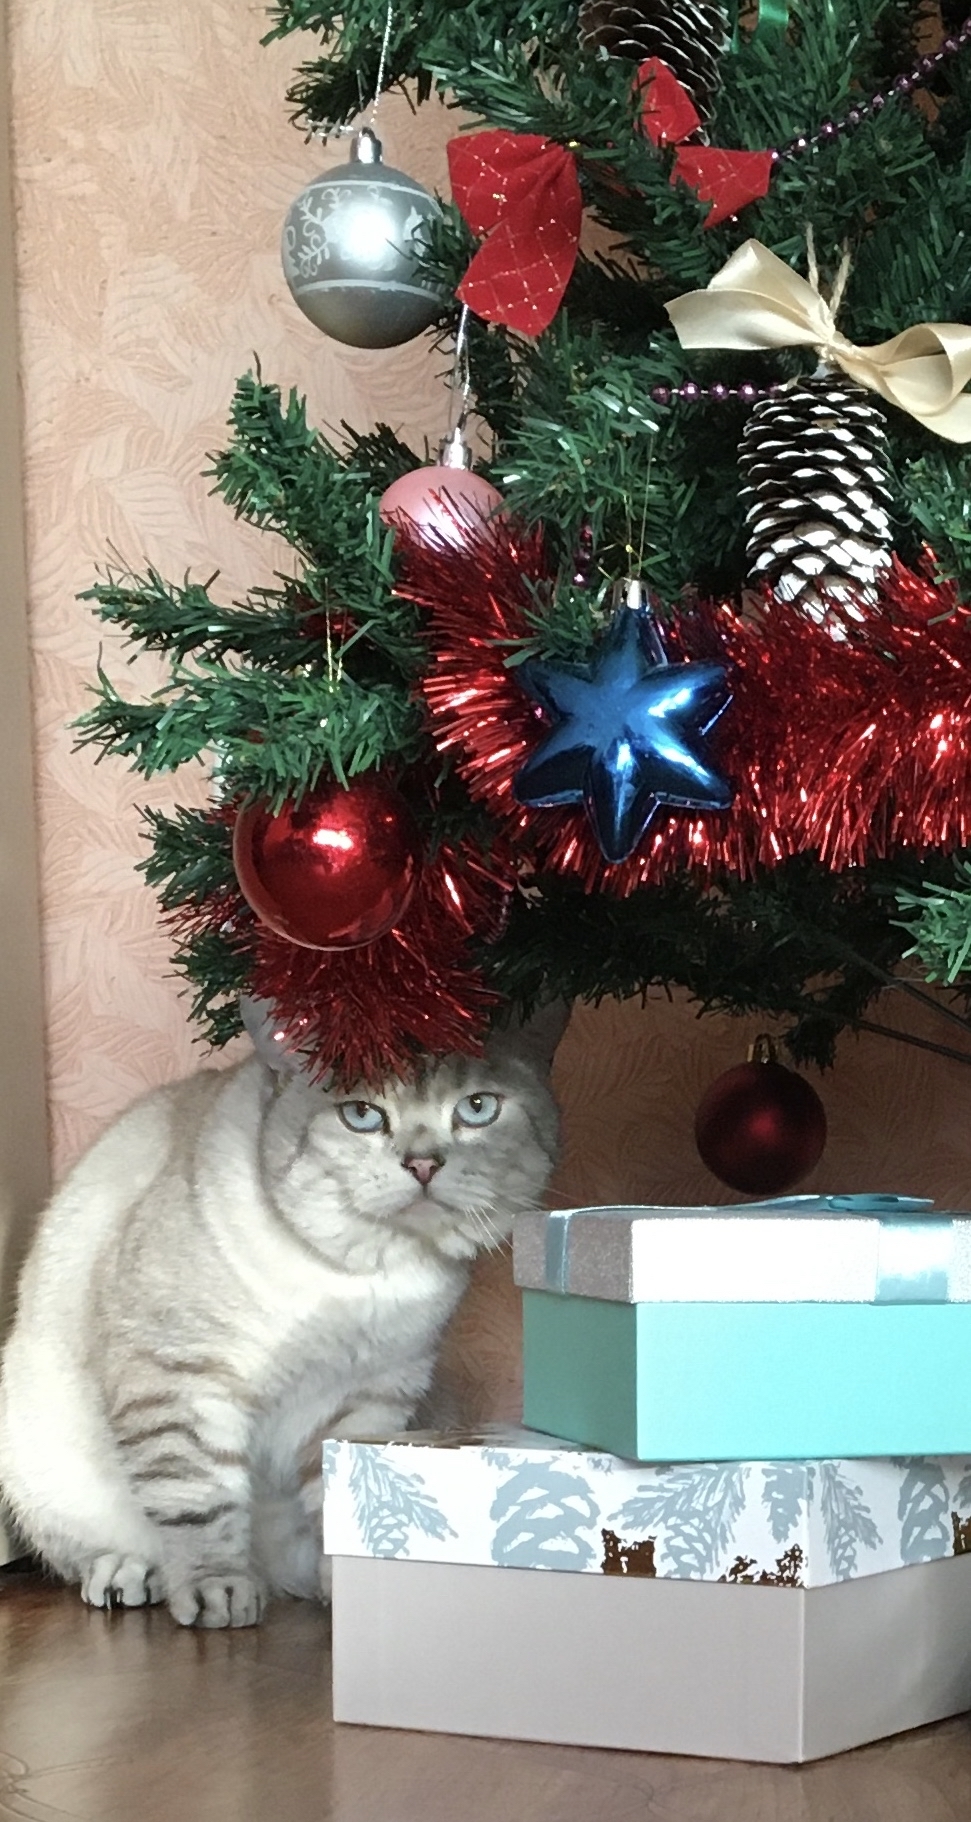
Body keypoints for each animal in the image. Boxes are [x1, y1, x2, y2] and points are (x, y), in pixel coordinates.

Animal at [0, 1013, 563, 1629]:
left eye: (477, 1108)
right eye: (361, 1115)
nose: (423, 1165)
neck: (367, 1275)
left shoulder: (368, 1399)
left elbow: (344, 1504)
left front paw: (345, 1590)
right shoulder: (183, 1378)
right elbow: (201, 1505)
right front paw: (218, 1595)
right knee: (93, 1550)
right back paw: (133, 1577)